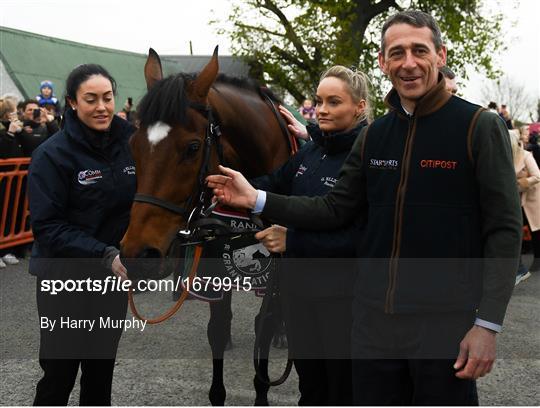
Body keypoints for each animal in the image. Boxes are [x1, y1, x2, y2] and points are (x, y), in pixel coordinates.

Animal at [121, 47, 294, 404]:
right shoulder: (215, 258)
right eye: (134, 146)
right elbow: (217, 327)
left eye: (192, 147)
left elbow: (265, 324)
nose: (138, 253)